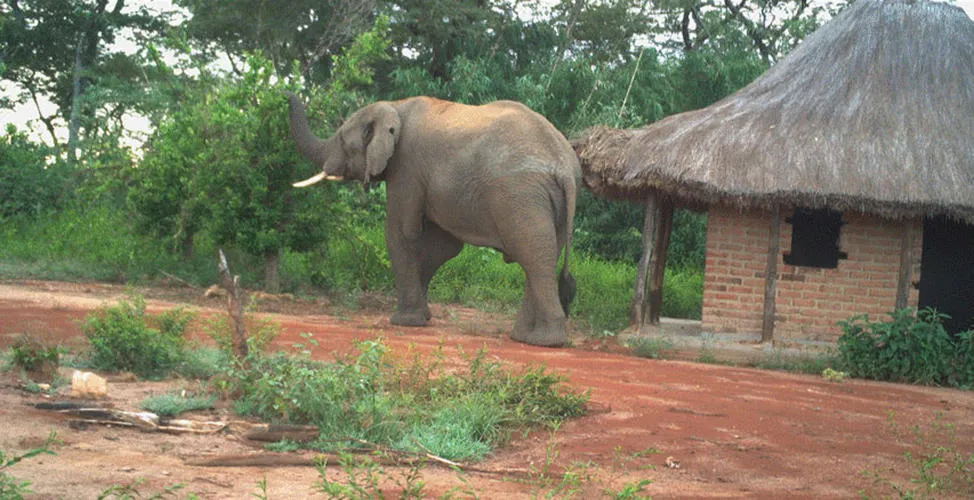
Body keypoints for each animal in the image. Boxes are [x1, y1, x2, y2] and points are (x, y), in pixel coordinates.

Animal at [288, 92, 580, 346]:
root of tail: (564, 166)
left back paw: (545, 342)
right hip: (548, 202)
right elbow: (443, 247)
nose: (286, 93)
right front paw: (423, 316)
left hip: (520, 196)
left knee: (533, 256)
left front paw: (404, 321)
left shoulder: (406, 167)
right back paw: (523, 337)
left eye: (341, 139)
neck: (395, 105)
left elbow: (400, 232)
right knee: (543, 255)